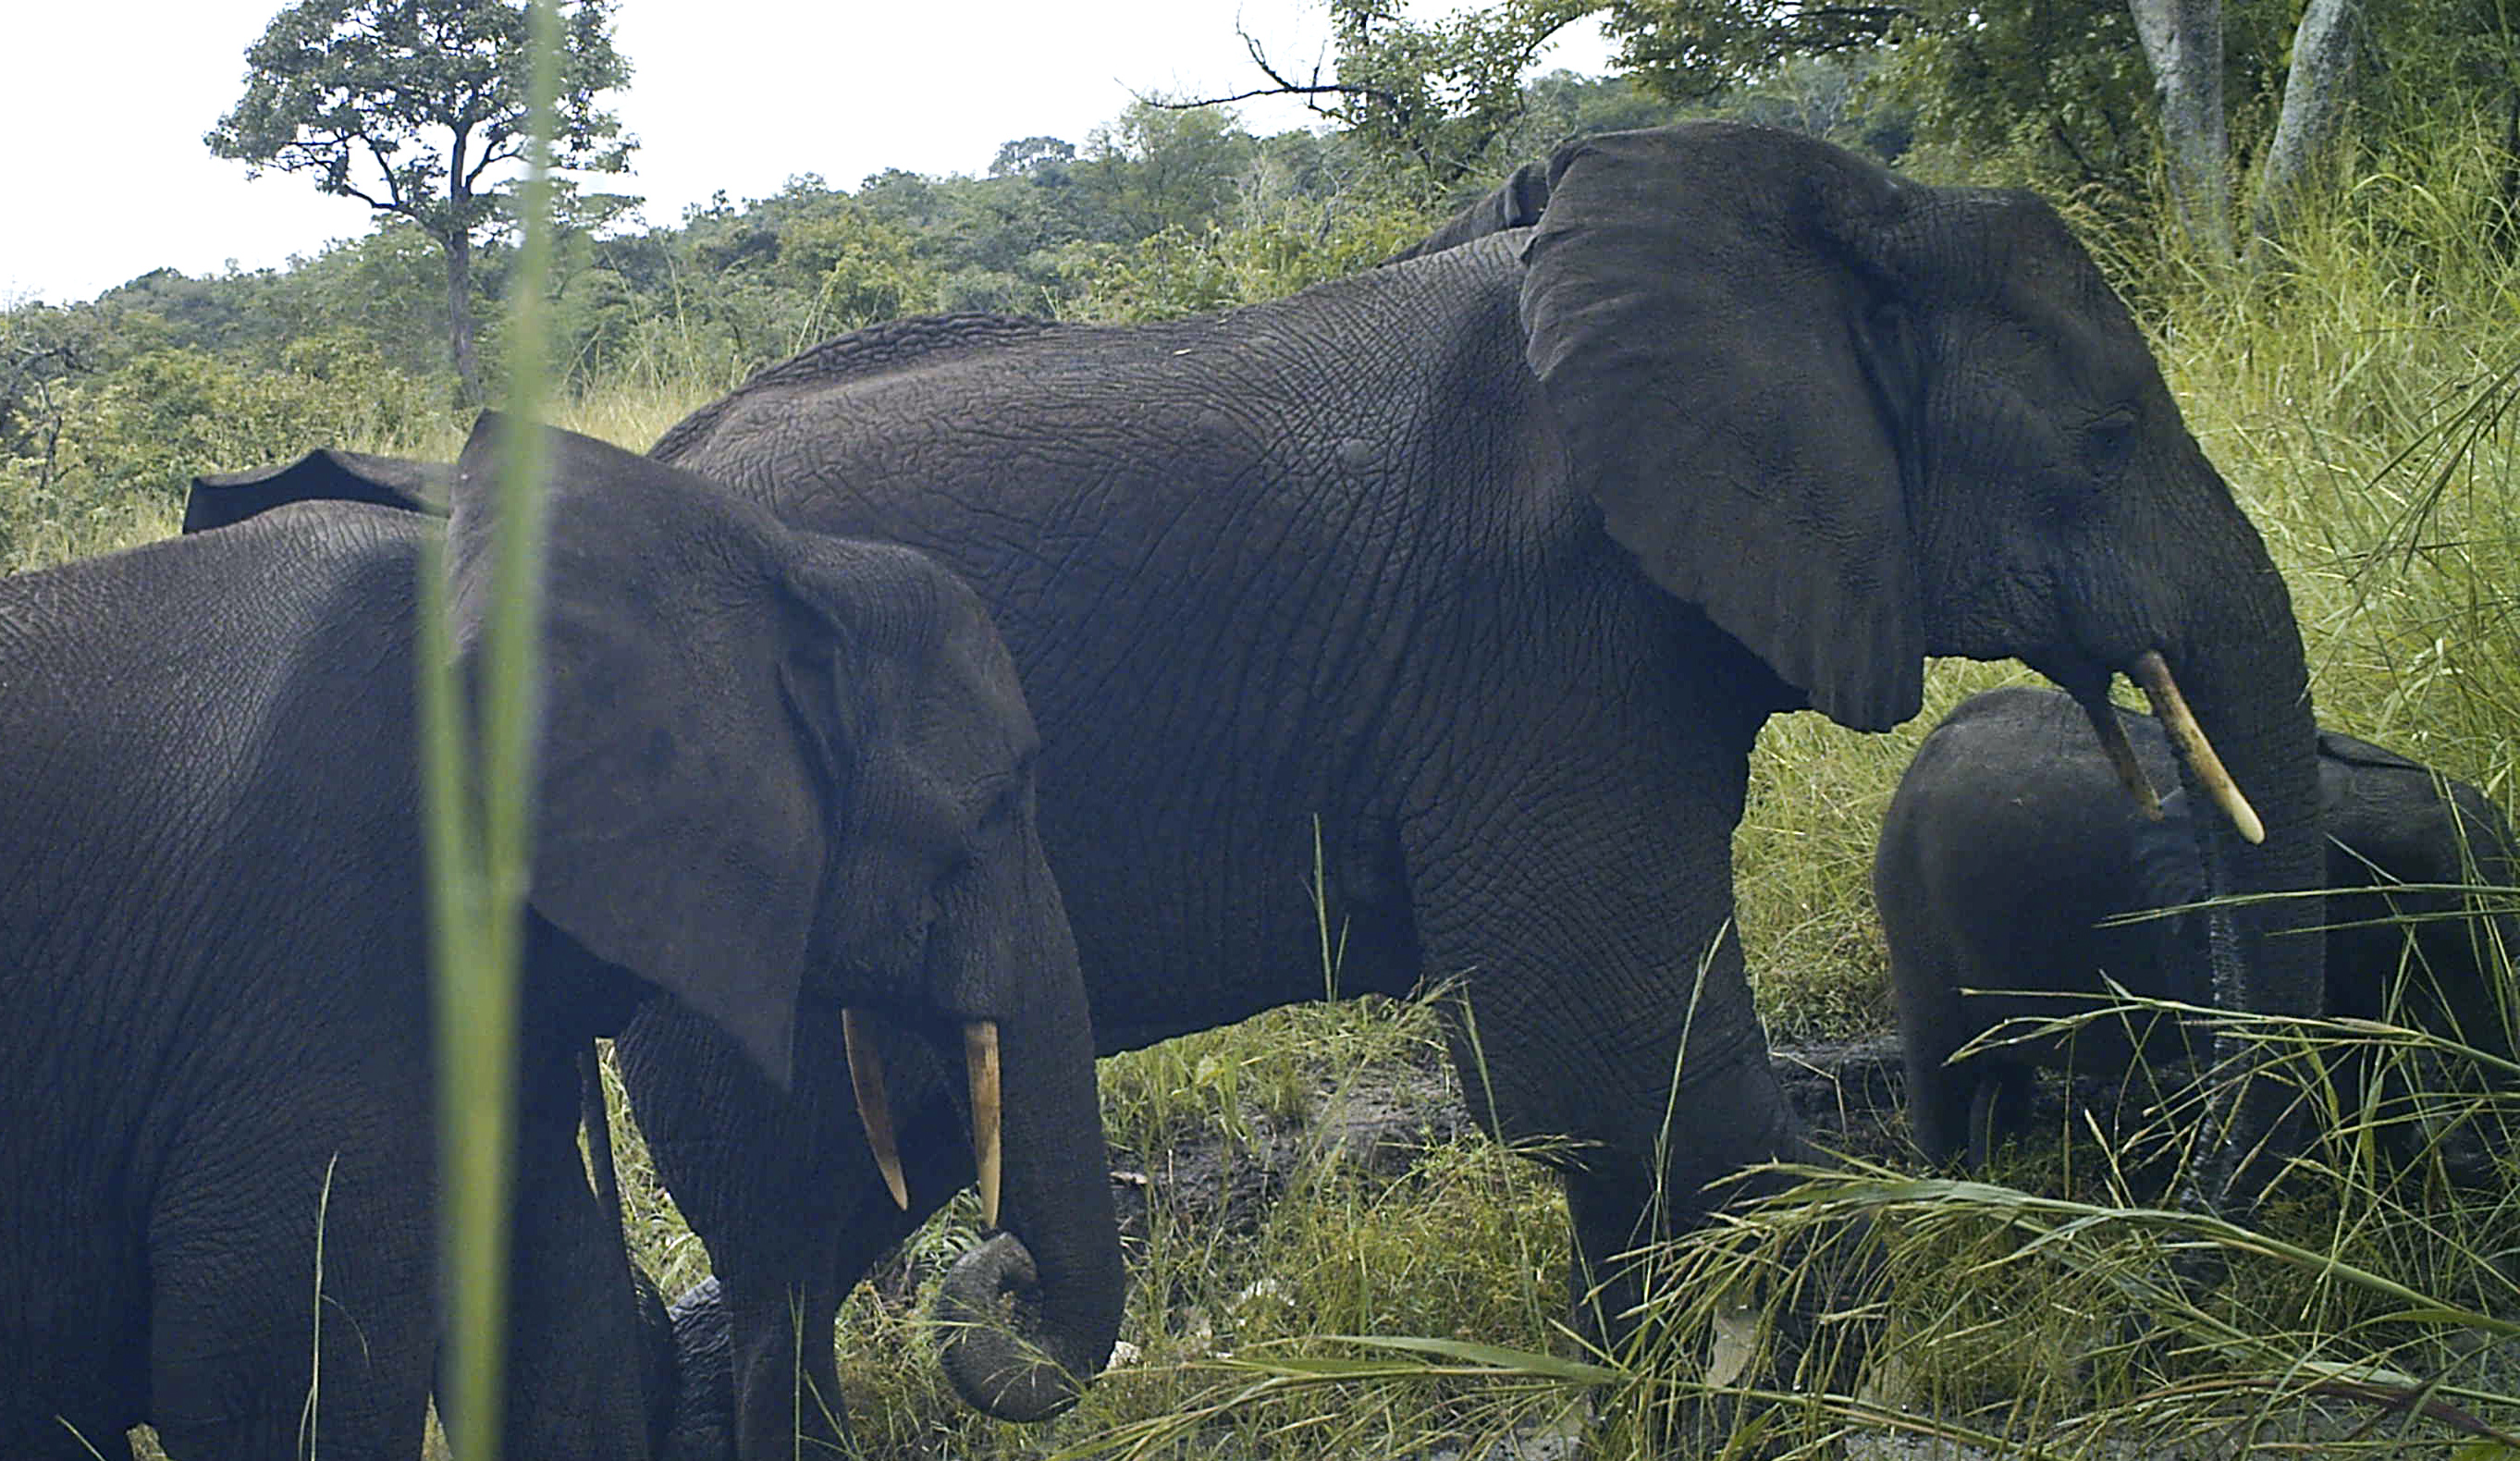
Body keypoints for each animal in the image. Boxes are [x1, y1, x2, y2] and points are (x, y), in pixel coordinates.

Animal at [187, 120, 2332, 1457]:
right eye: (2106, 436)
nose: (2199, 1251)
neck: (1803, 210)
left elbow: (1591, 1079)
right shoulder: (1542, 635)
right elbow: (1599, 1053)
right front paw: (1771, 1394)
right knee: (796, 1245)